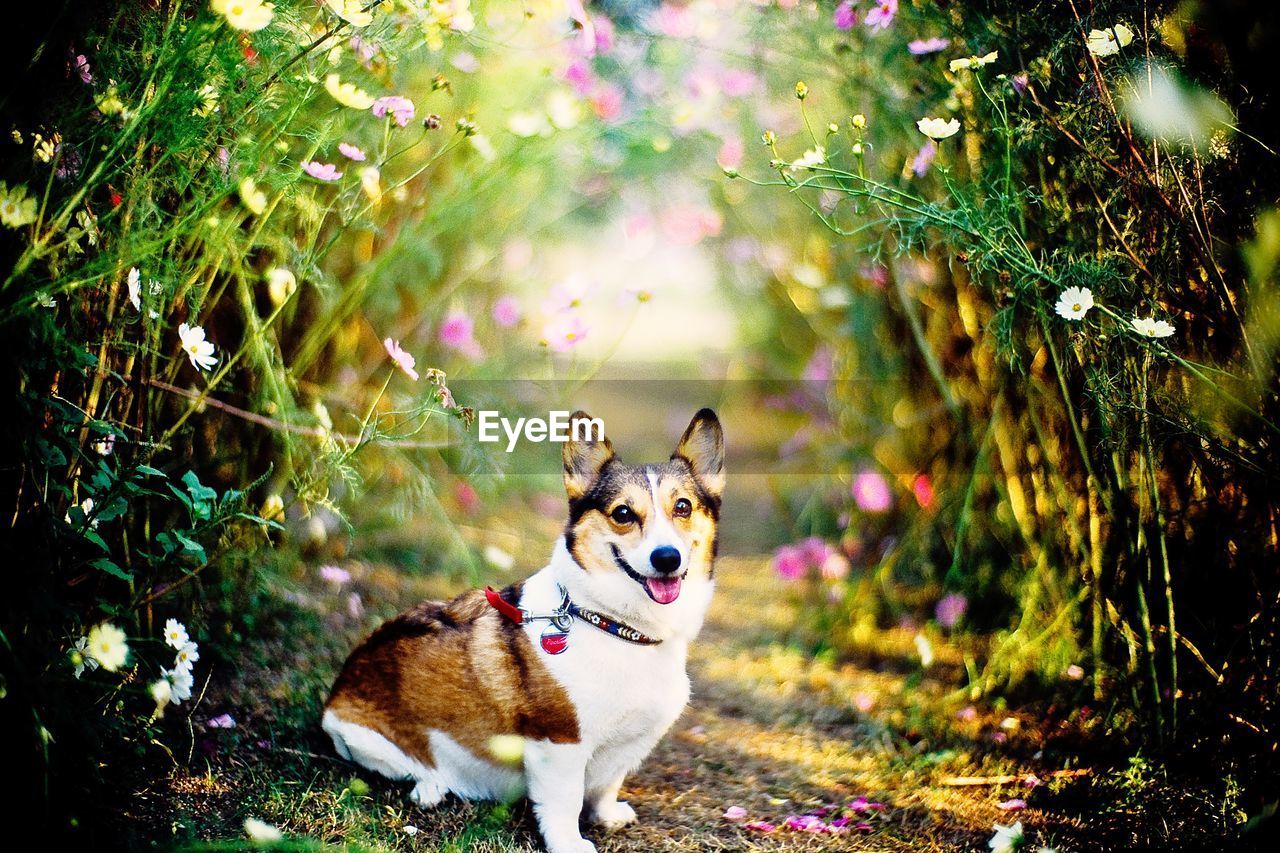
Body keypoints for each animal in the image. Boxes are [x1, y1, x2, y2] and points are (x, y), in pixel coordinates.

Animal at [322, 409, 721, 845]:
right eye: (622, 514)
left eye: (682, 507)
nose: (667, 557)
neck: (613, 624)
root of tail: (336, 693)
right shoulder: (559, 744)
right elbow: (564, 802)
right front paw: (569, 844)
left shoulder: (621, 749)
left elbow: (605, 786)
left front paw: (607, 815)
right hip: (366, 740)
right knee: (410, 768)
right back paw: (432, 786)